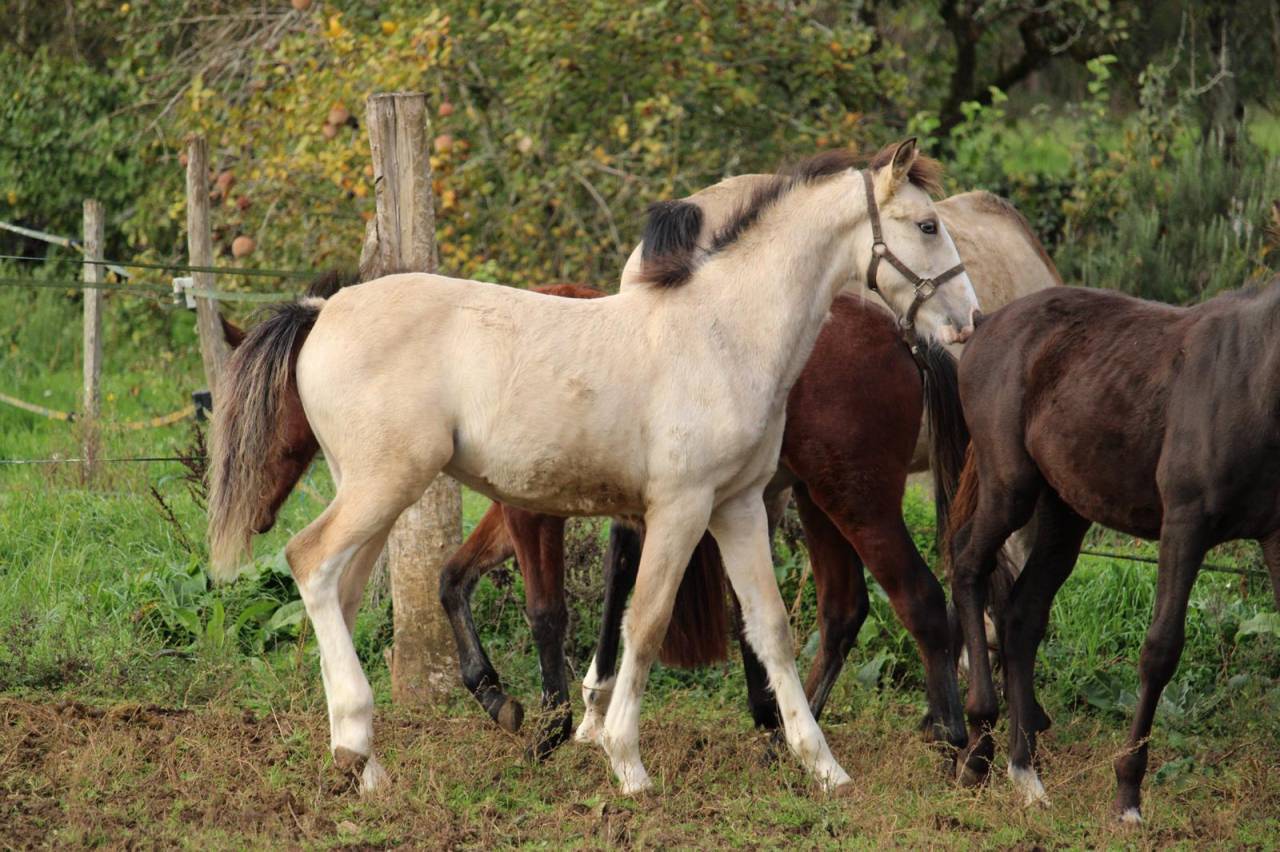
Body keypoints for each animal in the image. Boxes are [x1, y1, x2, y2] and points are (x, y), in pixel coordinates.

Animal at [207, 140, 981, 795]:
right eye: (926, 225)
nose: (967, 321)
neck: (725, 332)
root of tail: (323, 309)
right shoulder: (679, 508)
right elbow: (646, 621)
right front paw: (625, 761)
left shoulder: (736, 506)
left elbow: (771, 630)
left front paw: (823, 767)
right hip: (385, 486)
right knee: (309, 561)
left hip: (375, 493)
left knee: (335, 590)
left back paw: (362, 765)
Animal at [439, 179, 1061, 755]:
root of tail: (903, 341)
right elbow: (455, 577)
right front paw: (501, 693)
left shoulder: (535, 509)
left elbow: (548, 609)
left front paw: (553, 724)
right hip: (823, 501)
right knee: (851, 608)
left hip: (859, 502)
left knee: (928, 598)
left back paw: (952, 733)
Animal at [945, 282, 1280, 822]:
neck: (1256, 377)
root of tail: (985, 323)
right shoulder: (1185, 524)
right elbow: (1161, 650)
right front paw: (1127, 795)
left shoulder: (1275, 534)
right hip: (1010, 486)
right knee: (969, 565)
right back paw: (978, 750)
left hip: (1065, 509)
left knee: (1022, 615)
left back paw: (1026, 773)